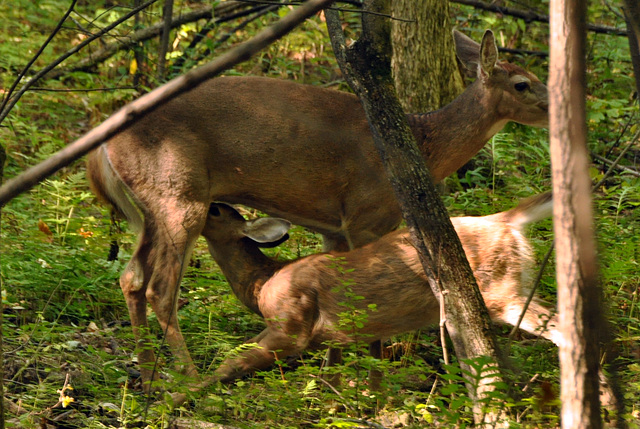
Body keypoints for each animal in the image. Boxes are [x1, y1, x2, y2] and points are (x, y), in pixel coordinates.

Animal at [198, 192, 556, 382]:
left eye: (215, 210)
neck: (263, 283)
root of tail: (504, 220)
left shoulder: (292, 323)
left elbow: (234, 362)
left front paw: (188, 392)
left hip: (501, 290)